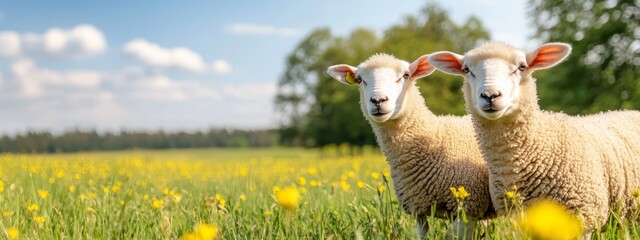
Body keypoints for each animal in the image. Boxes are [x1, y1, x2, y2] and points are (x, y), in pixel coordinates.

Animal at [328, 53, 492, 239]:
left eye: (405, 75)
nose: (378, 100)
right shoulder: (418, 208)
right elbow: (421, 234)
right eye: (360, 79)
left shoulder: (470, 206)